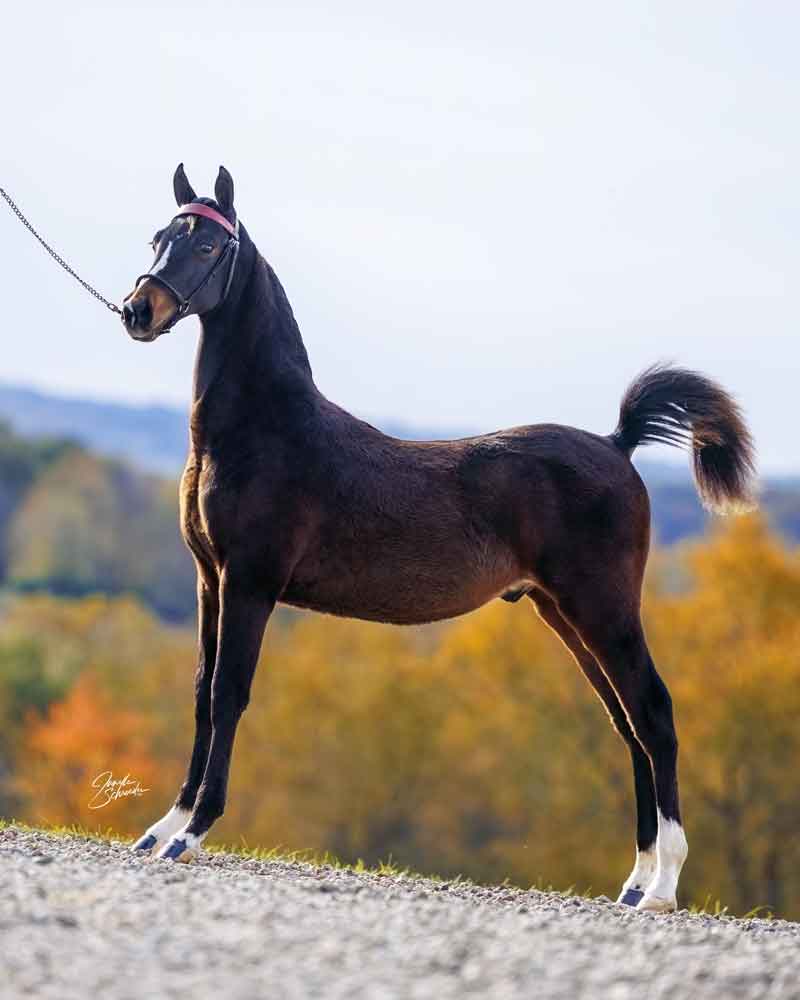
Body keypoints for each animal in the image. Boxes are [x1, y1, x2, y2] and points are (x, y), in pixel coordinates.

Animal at [121, 164, 755, 913]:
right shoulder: (209, 580)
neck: (263, 432)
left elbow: (228, 694)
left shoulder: (250, 582)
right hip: (563, 613)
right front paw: (163, 828)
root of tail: (617, 443)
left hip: (604, 608)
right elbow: (200, 692)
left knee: (654, 714)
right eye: (159, 236)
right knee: (627, 723)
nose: (139, 310)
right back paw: (633, 880)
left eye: (209, 246)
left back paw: (661, 887)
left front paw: (194, 832)